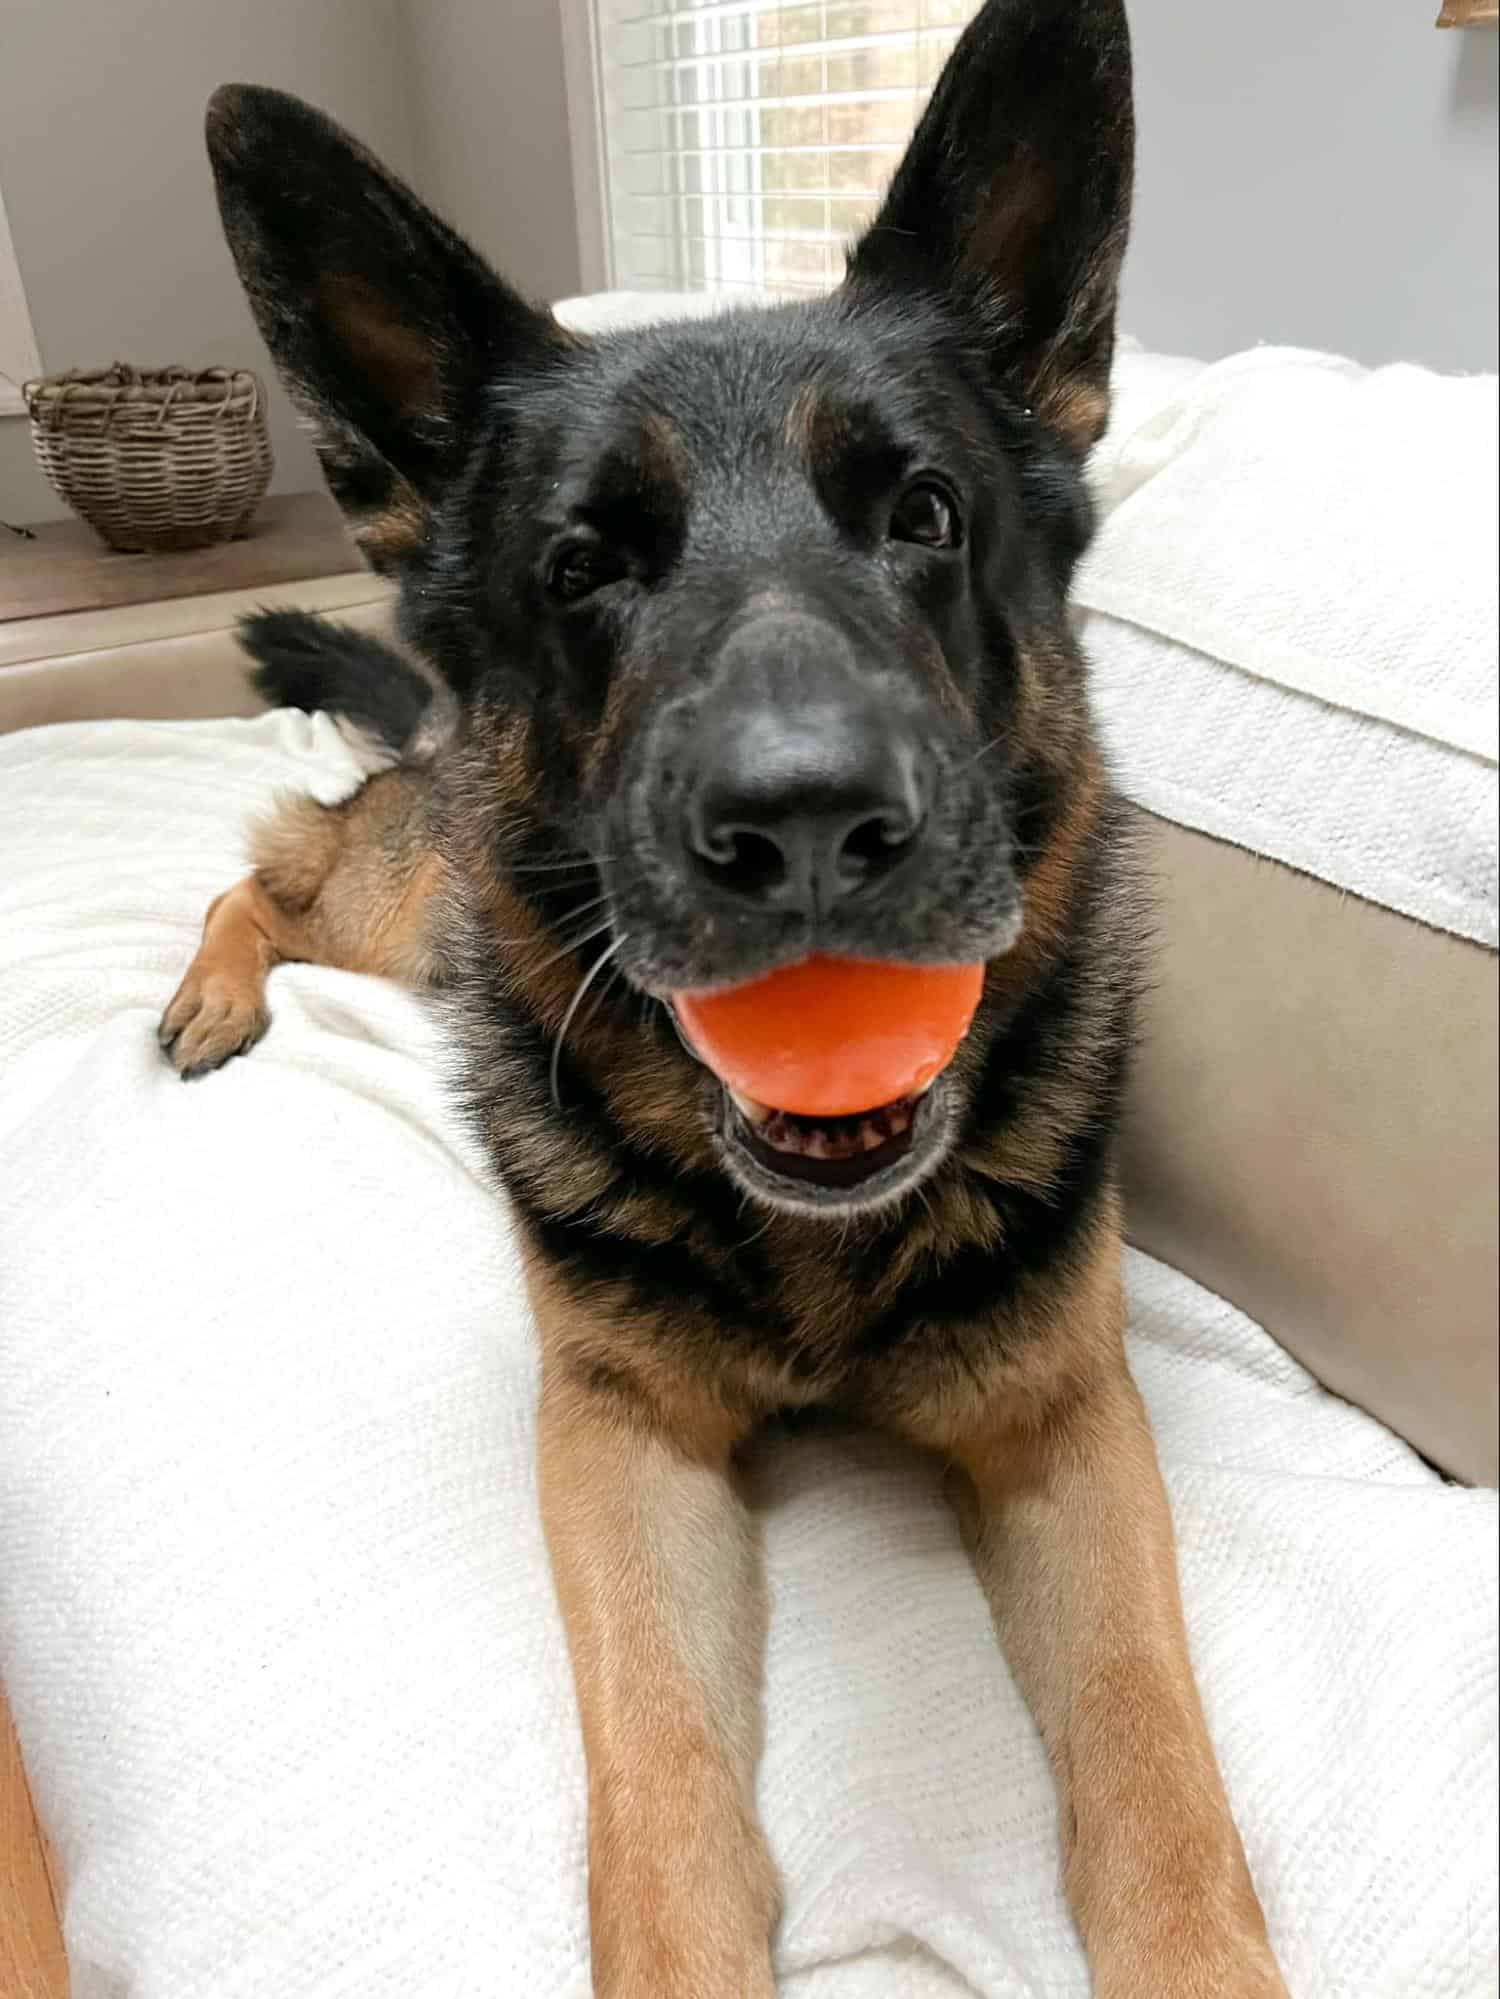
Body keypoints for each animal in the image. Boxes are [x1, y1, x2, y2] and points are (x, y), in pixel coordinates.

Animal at [162, 7, 1296, 1991]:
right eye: (583, 567)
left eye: (924, 514)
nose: (808, 824)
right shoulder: (617, 1439)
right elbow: (662, 1788)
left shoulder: (1070, 1426)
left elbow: (1157, 1766)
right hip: (407, 907)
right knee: (283, 857)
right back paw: (214, 992)